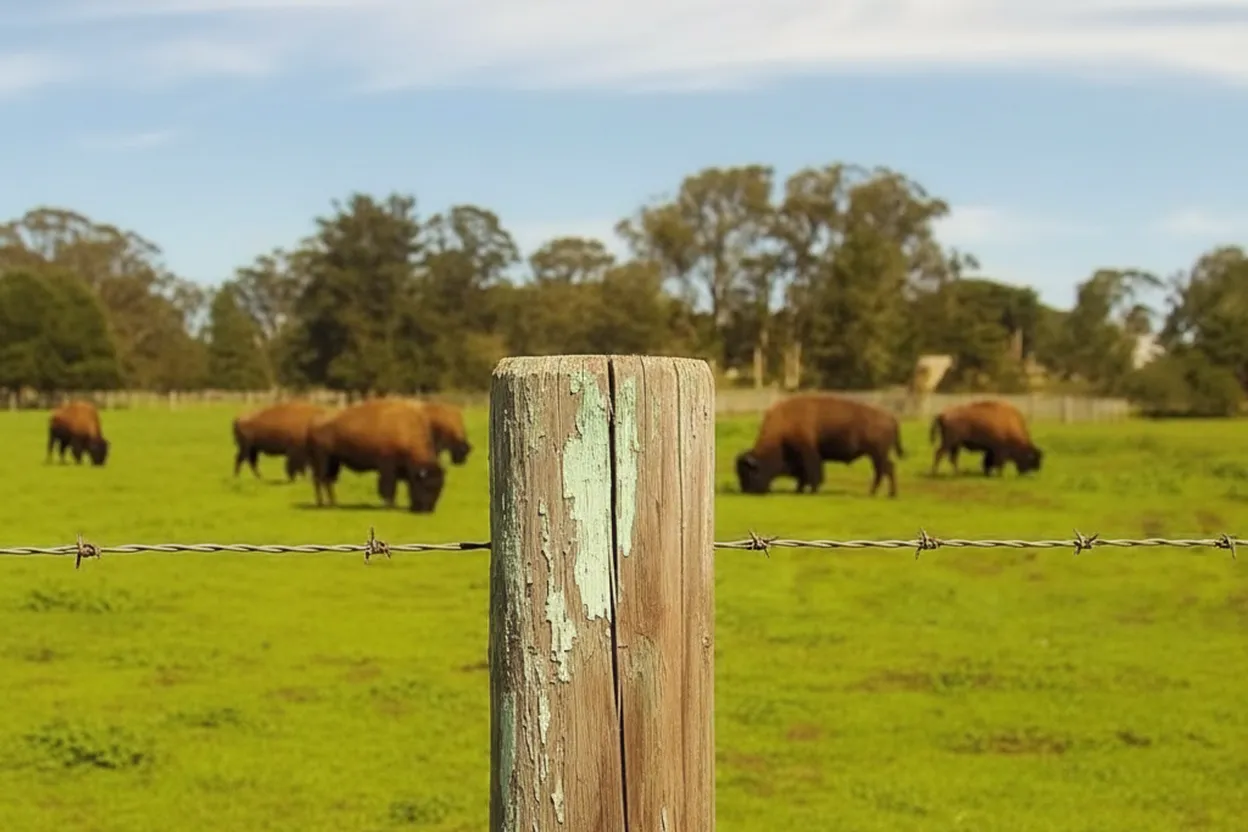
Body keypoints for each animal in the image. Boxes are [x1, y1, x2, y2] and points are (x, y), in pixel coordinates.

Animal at [736, 393, 905, 497]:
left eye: (749, 473)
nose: (746, 491)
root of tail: (891, 417)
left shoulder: (808, 453)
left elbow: (812, 473)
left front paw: (812, 491)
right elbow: (802, 476)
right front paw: (799, 490)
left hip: (877, 454)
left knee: (883, 470)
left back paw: (877, 493)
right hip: (877, 455)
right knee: (887, 469)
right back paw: (886, 494)